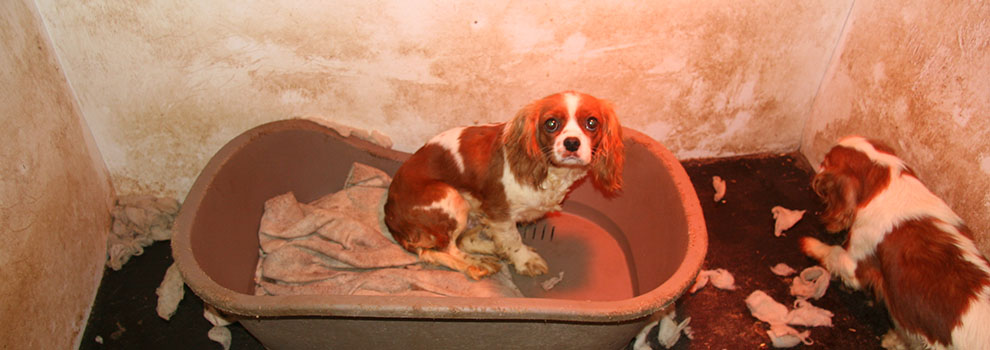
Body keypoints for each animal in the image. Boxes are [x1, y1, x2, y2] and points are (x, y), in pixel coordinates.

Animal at [384, 91, 624, 280]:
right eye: (551, 123)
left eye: (592, 122)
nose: (572, 143)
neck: (548, 172)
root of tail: (390, 216)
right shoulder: (500, 213)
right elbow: (513, 240)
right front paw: (526, 261)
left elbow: (505, 239)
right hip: (451, 197)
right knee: (448, 248)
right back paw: (478, 263)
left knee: (464, 241)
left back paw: (491, 250)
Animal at [808, 135, 990, 348]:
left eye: (826, 160)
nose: (820, 165)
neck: (888, 184)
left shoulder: (855, 263)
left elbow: (832, 252)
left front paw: (809, 245)